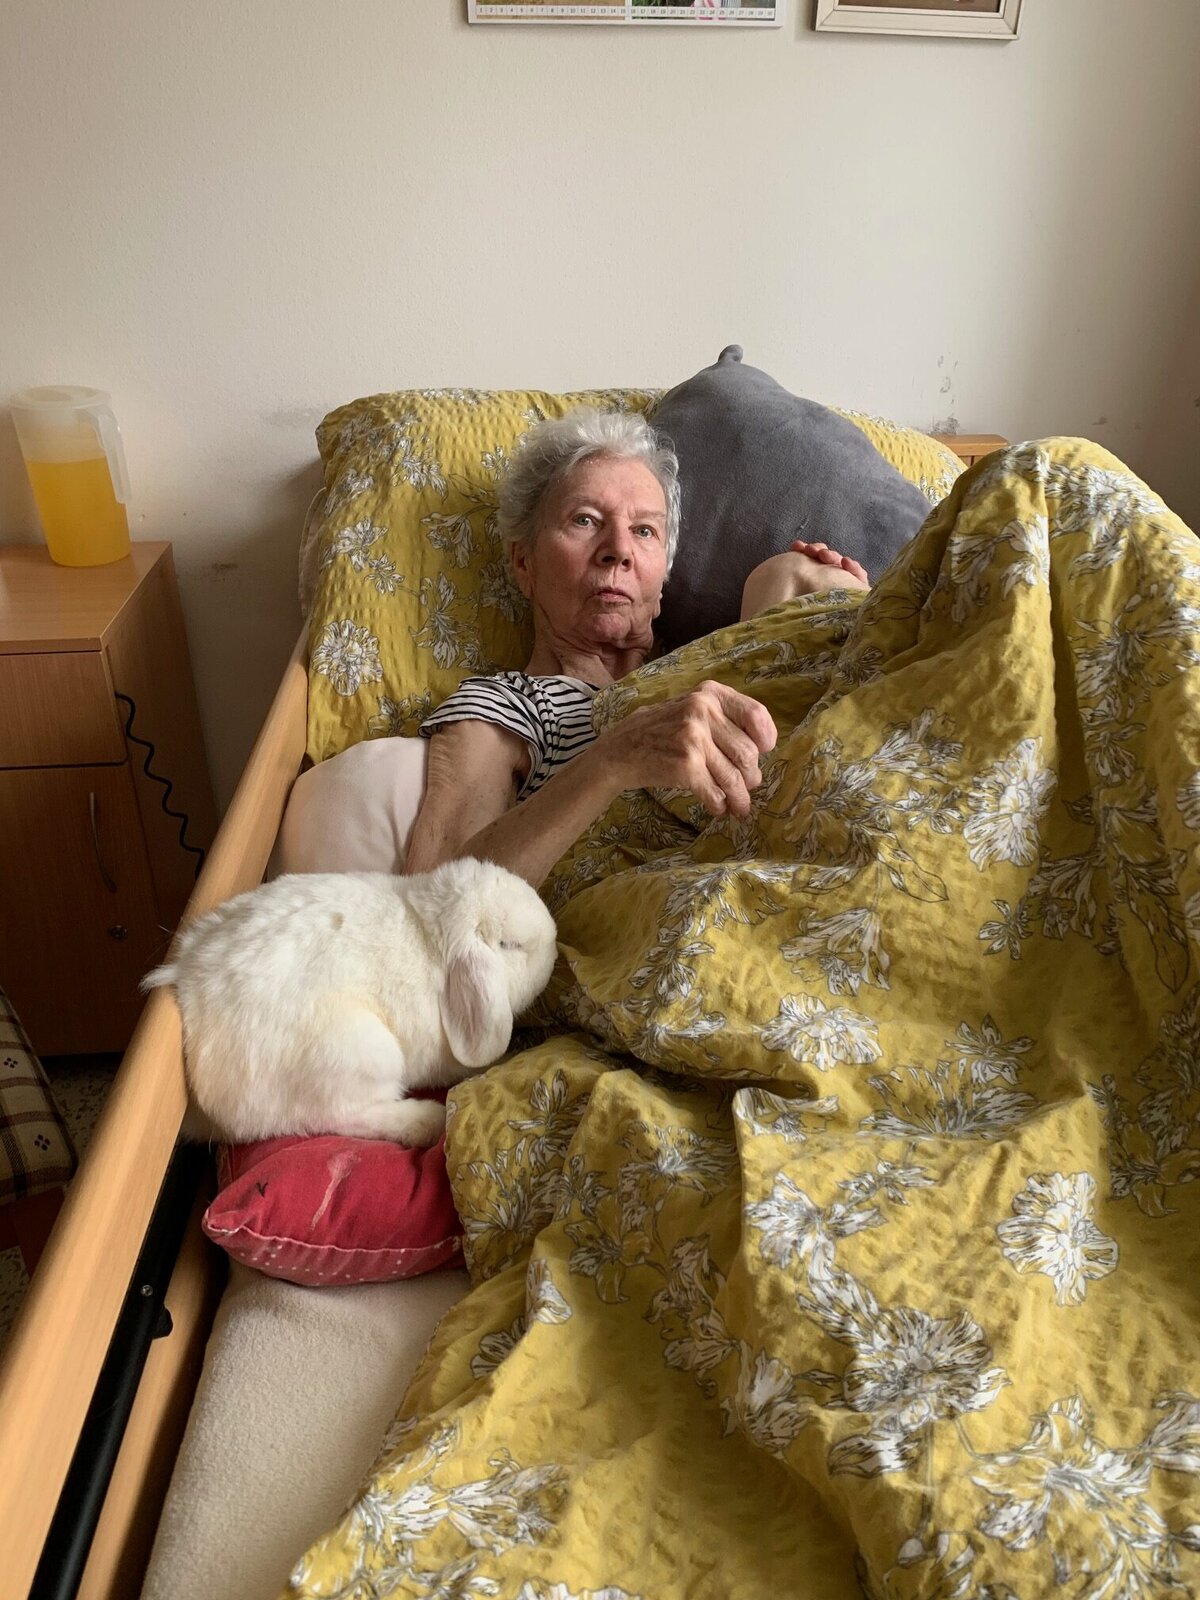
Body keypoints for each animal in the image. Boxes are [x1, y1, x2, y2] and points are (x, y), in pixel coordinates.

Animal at [143, 857, 558, 1147]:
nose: (555, 941)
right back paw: (423, 1121)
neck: (429, 937)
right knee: (336, 1118)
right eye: (510, 945)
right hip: (362, 1052)